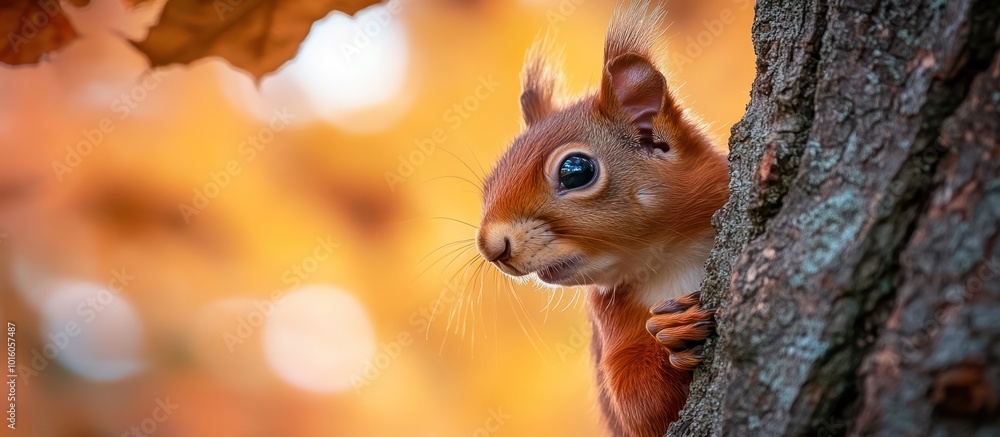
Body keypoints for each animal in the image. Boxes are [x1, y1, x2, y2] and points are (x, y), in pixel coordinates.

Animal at [474, 2, 730, 436]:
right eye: (489, 183)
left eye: (576, 171)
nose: (492, 247)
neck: (670, 257)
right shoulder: (609, 318)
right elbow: (637, 404)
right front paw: (673, 336)